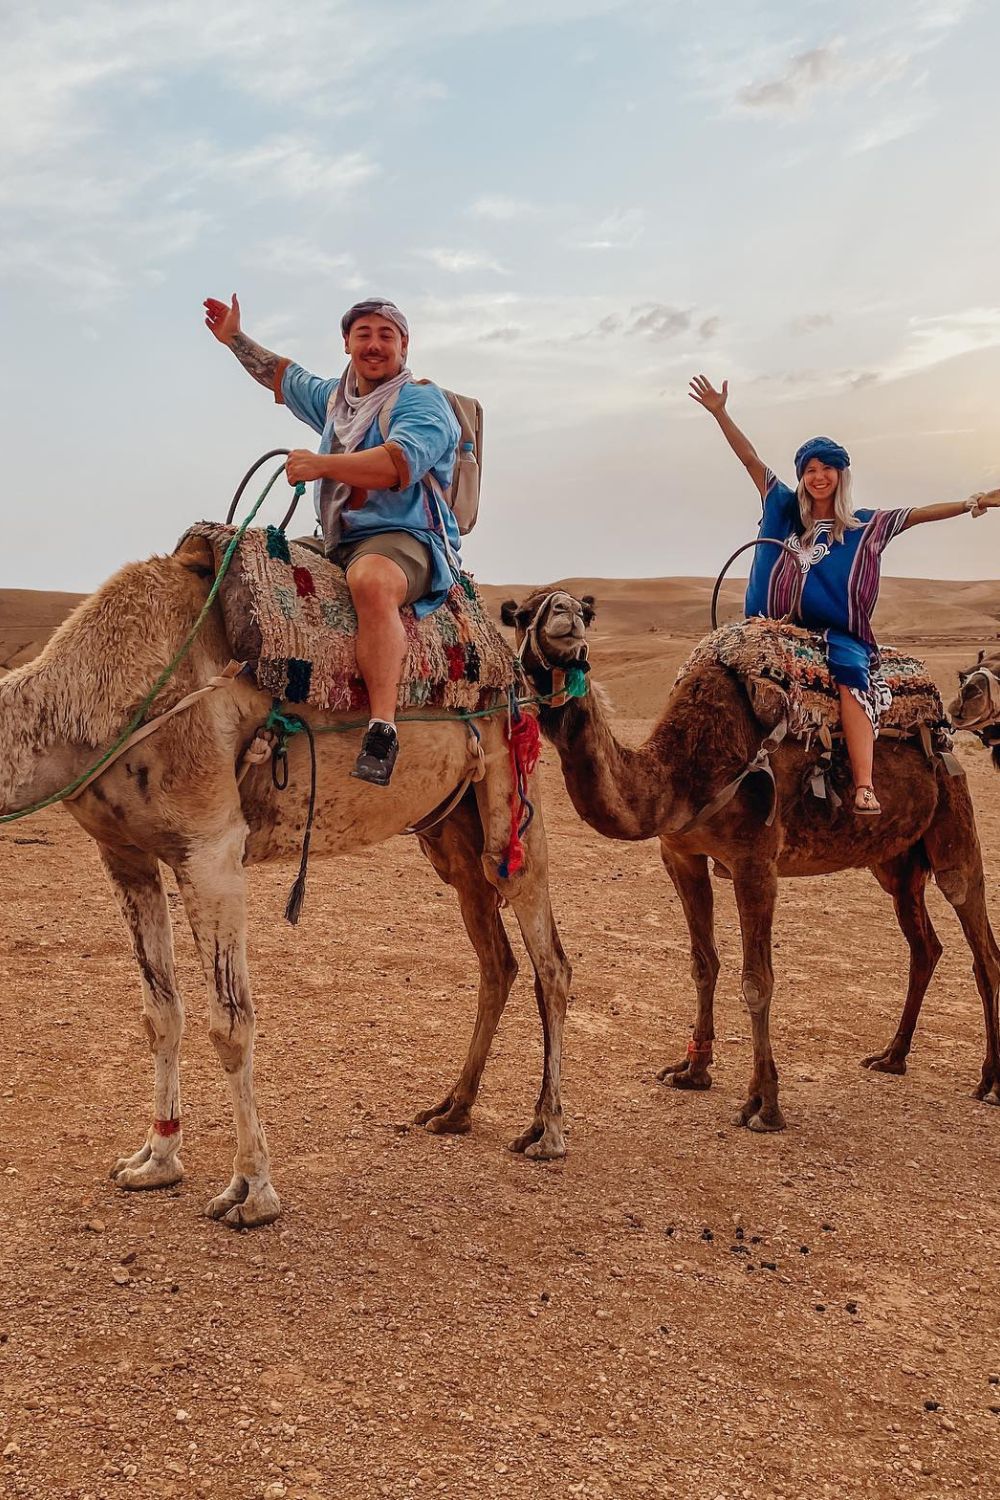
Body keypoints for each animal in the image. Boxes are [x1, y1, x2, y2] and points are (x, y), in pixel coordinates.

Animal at [1, 540, 569, 1230]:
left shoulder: (211, 848)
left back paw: (546, 1129)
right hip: (448, 824)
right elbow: (160, 1013)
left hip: (512, 780)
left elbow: (231, 1023)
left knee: (548, 956)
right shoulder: (123, 852)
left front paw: (251, 1191)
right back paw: (452, 1109)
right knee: (497, 957)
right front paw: (155, 1160)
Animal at [503, 591, 1000, 1128]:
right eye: (521, 614)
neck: (681, 772)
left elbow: (758, 980)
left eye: (585, 612)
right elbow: (703, 963)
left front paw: (764, 1102)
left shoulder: (755, 863)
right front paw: (692, 1069)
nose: (565, 612)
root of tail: (941, 731)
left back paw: (990, 1081)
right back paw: (892, 1056)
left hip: (953, 823)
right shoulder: (680, 854)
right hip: (895, 862)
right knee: (925, 946)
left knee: (982, 945)